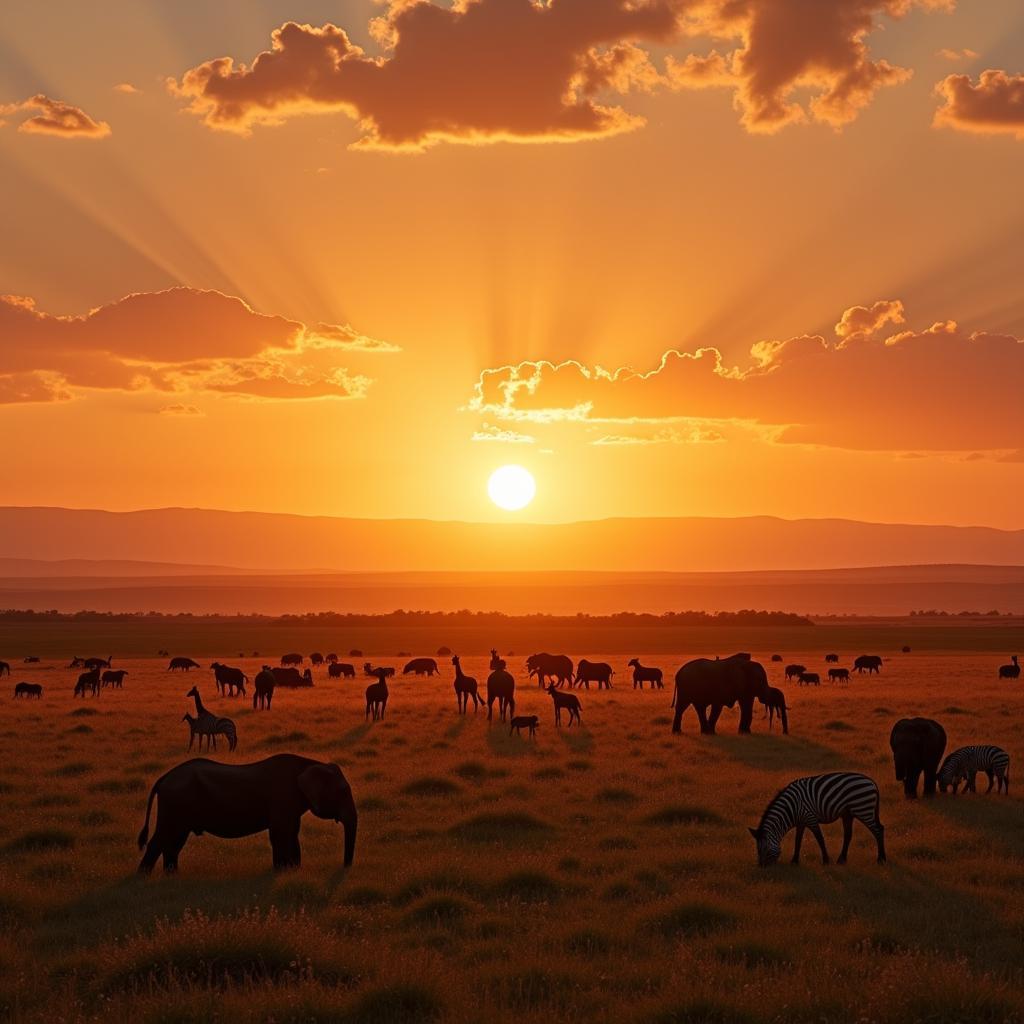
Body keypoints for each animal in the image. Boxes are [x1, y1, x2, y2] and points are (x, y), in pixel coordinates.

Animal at [138, 753, 356, 872]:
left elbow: (292, 833)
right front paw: (282, 871)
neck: (311, 764)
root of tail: (163, 777)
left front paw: (293, 870)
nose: (344, 867)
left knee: (174, 842)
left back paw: (171, 876)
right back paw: (143, 876)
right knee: (161, 840)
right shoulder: (281, 799)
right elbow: (280, 834)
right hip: (174, 804)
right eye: (342, 792)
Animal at [749, 770, 884, 868]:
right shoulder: (801, 823)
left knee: (878, 830)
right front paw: (794, 861)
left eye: (764, 849)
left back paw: (881, 859)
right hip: (848, 814)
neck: (791, 808)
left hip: (863, 809)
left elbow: (820, 839)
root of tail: (871, 781)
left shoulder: (810, 818)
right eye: (757, 850)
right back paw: (841, 860)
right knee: (848, 835)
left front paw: (825, 860)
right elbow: (798, 841)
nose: (761, 867)